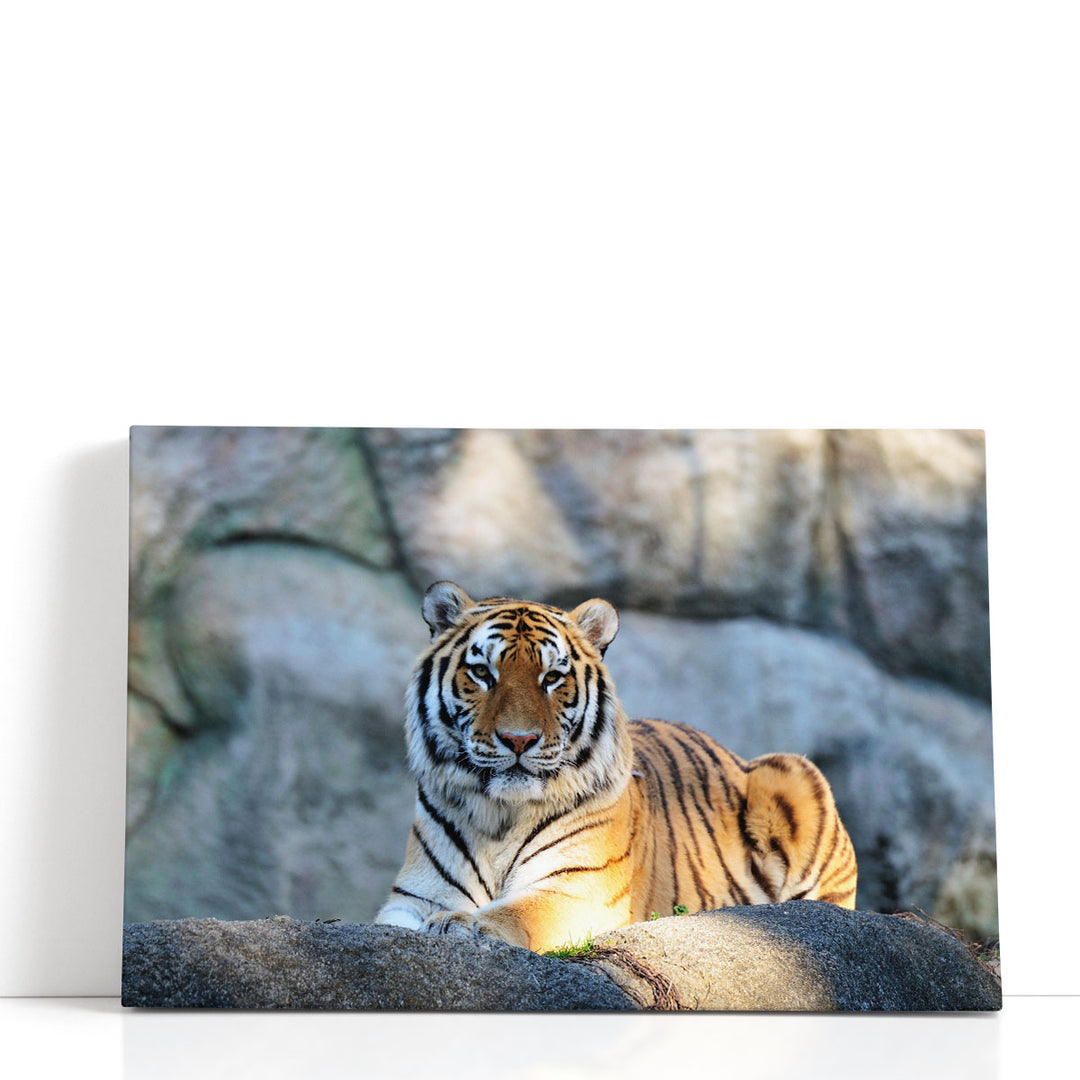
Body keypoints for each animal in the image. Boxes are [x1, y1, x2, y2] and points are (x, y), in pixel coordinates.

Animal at [374, 581, 857, 954]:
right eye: (482, 673)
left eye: (552, 678)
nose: (519, 740)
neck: (501, 815)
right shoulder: (415, 896)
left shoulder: (577, 889)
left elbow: (516, 912)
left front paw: (462, 924)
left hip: (793, 773)